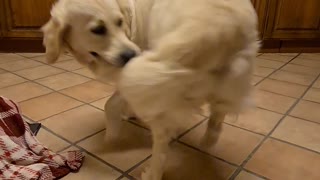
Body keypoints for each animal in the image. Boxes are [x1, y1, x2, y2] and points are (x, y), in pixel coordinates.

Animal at [41, 0, 258, 179]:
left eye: (119, 22)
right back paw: (208, 140)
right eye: (98, 29)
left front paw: (111, 134)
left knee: (161, 148)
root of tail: (221, 30)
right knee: (217, 117)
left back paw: (152, 173)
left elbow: (110, 105)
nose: (131, 55)